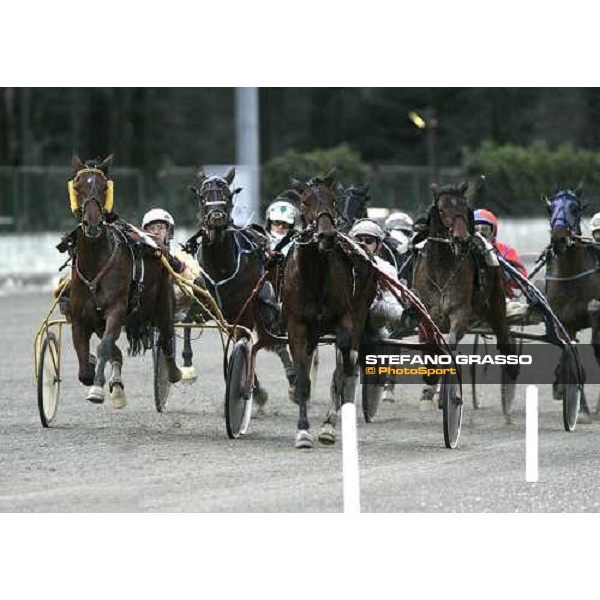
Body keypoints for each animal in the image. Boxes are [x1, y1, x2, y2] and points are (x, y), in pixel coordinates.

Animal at [68, 156, 180, 408]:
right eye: (77, 187)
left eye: (104, 187)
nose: (92, 224)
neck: (95, 265)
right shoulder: (80, 317)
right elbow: (84, 367)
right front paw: (94, 373)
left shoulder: (116, 309)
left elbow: (104, 347)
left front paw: (97, 389)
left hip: (163, 302)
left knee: (167, 338)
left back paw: (174, 373)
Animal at [284, 169, 378, 446]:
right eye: (305, 203)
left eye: (332, 200)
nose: (327, 235)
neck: (315, 276)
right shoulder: (297, 325)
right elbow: (303, 377)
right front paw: (303, 431)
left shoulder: (346, 318)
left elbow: (343, 362)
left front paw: (328, 425)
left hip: (361, 310)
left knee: (344, 365)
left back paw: (330, 424)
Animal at [412, 183, 520, 422]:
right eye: (442, 209)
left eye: (464, 207)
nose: (461, 239)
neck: (442, 269)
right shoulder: (425, 316)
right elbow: (430, 348)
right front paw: (429, 385)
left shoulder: (459, 314)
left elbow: (450, 346)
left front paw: (446, 396)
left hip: (495, 305)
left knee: (505, 338)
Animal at [544, 190, 600, 414]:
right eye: (550, 209)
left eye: (575, 208)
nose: (559, 238)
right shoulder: (565, 322)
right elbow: (571, 354)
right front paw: (581, 409)